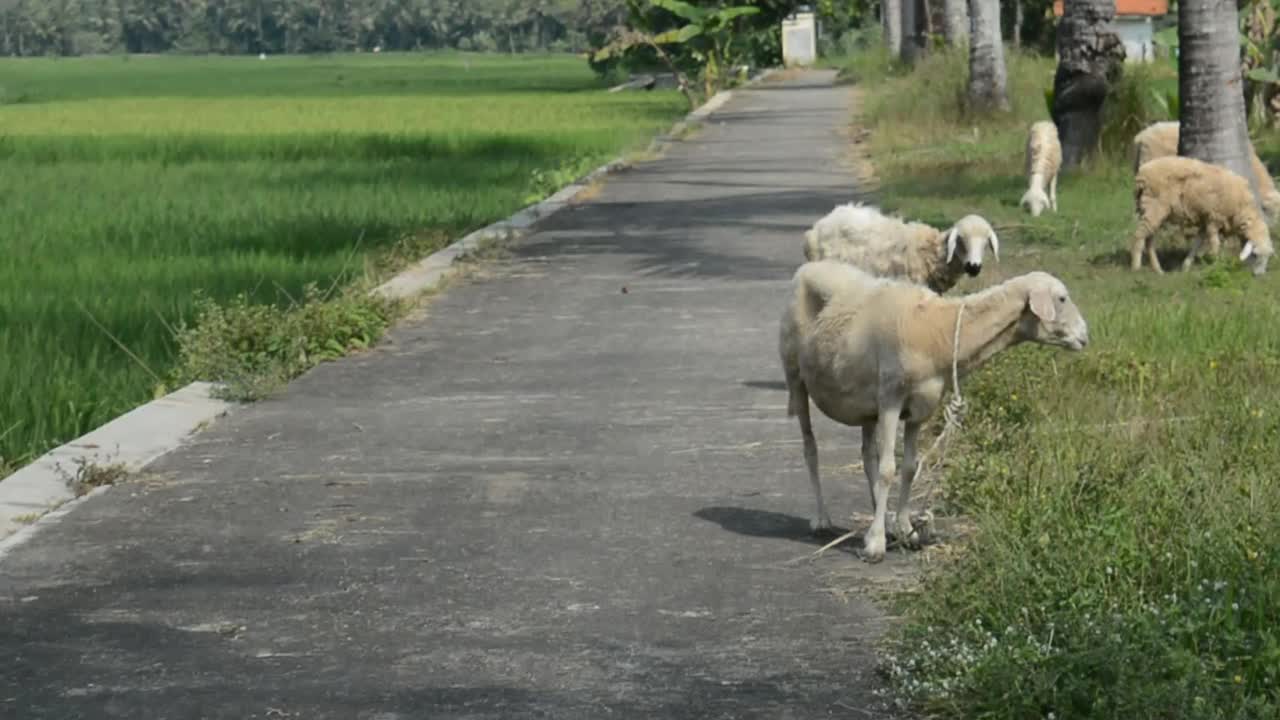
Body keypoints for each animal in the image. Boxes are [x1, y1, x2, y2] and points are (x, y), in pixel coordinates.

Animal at [778, 257, 1090, 561]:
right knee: (811, 448)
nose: (1085, 336)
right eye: (1062, 298)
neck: (939, 328)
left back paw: (883, 517)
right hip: (796, 377)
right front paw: (876, 544)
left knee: (867, 456)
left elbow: (908, 467)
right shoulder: (890, 398)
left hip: (865, 403)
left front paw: (905, 529)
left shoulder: (920, 407)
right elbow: (888, 470)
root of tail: (809, 266)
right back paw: (823, 519)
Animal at [1131, 154, 1269, 274]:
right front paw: (1215, 262)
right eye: (1255, 255)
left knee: (1149, 240)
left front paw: (1186, 266)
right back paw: (1136, 267)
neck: (1242, 207)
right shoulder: (1214, 218)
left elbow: (1197, 243)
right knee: (1139, 235)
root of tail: (1142, 172)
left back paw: (1158, 270)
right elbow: (1215, 244)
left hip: (1154, 210)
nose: (1259, 275)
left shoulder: (1205, 221)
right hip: (1154, 206)